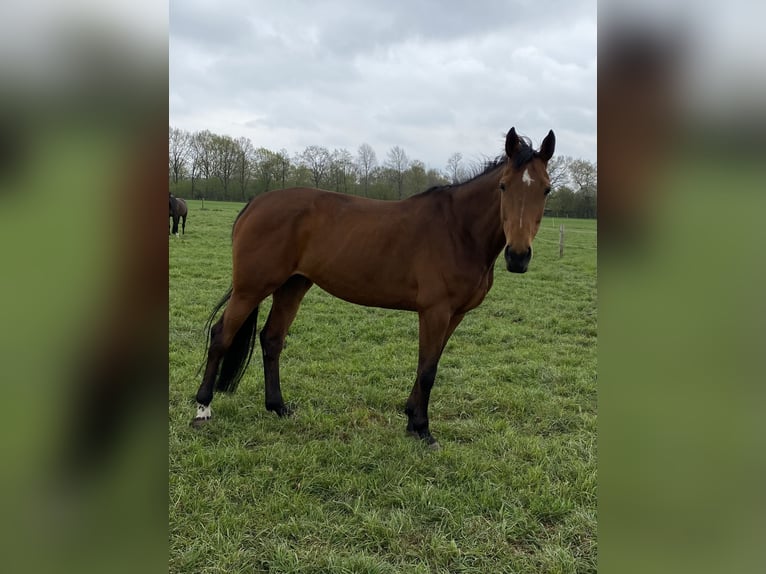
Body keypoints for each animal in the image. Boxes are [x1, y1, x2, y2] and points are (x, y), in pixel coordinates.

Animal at [195, 128, 556, 448]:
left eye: (547, 190)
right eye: (503, 186)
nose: (518, 256)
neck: (459, 230)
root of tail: (255, 203)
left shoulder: (455, 315)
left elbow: (428, 366)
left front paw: (411, 419)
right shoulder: (435, 311)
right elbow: (427, 369)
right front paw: (423, 429)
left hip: (292, 285)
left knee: (272, 339)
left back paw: (279, 407)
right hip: (251, 288)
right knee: (221, 336)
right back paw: (202, 408)